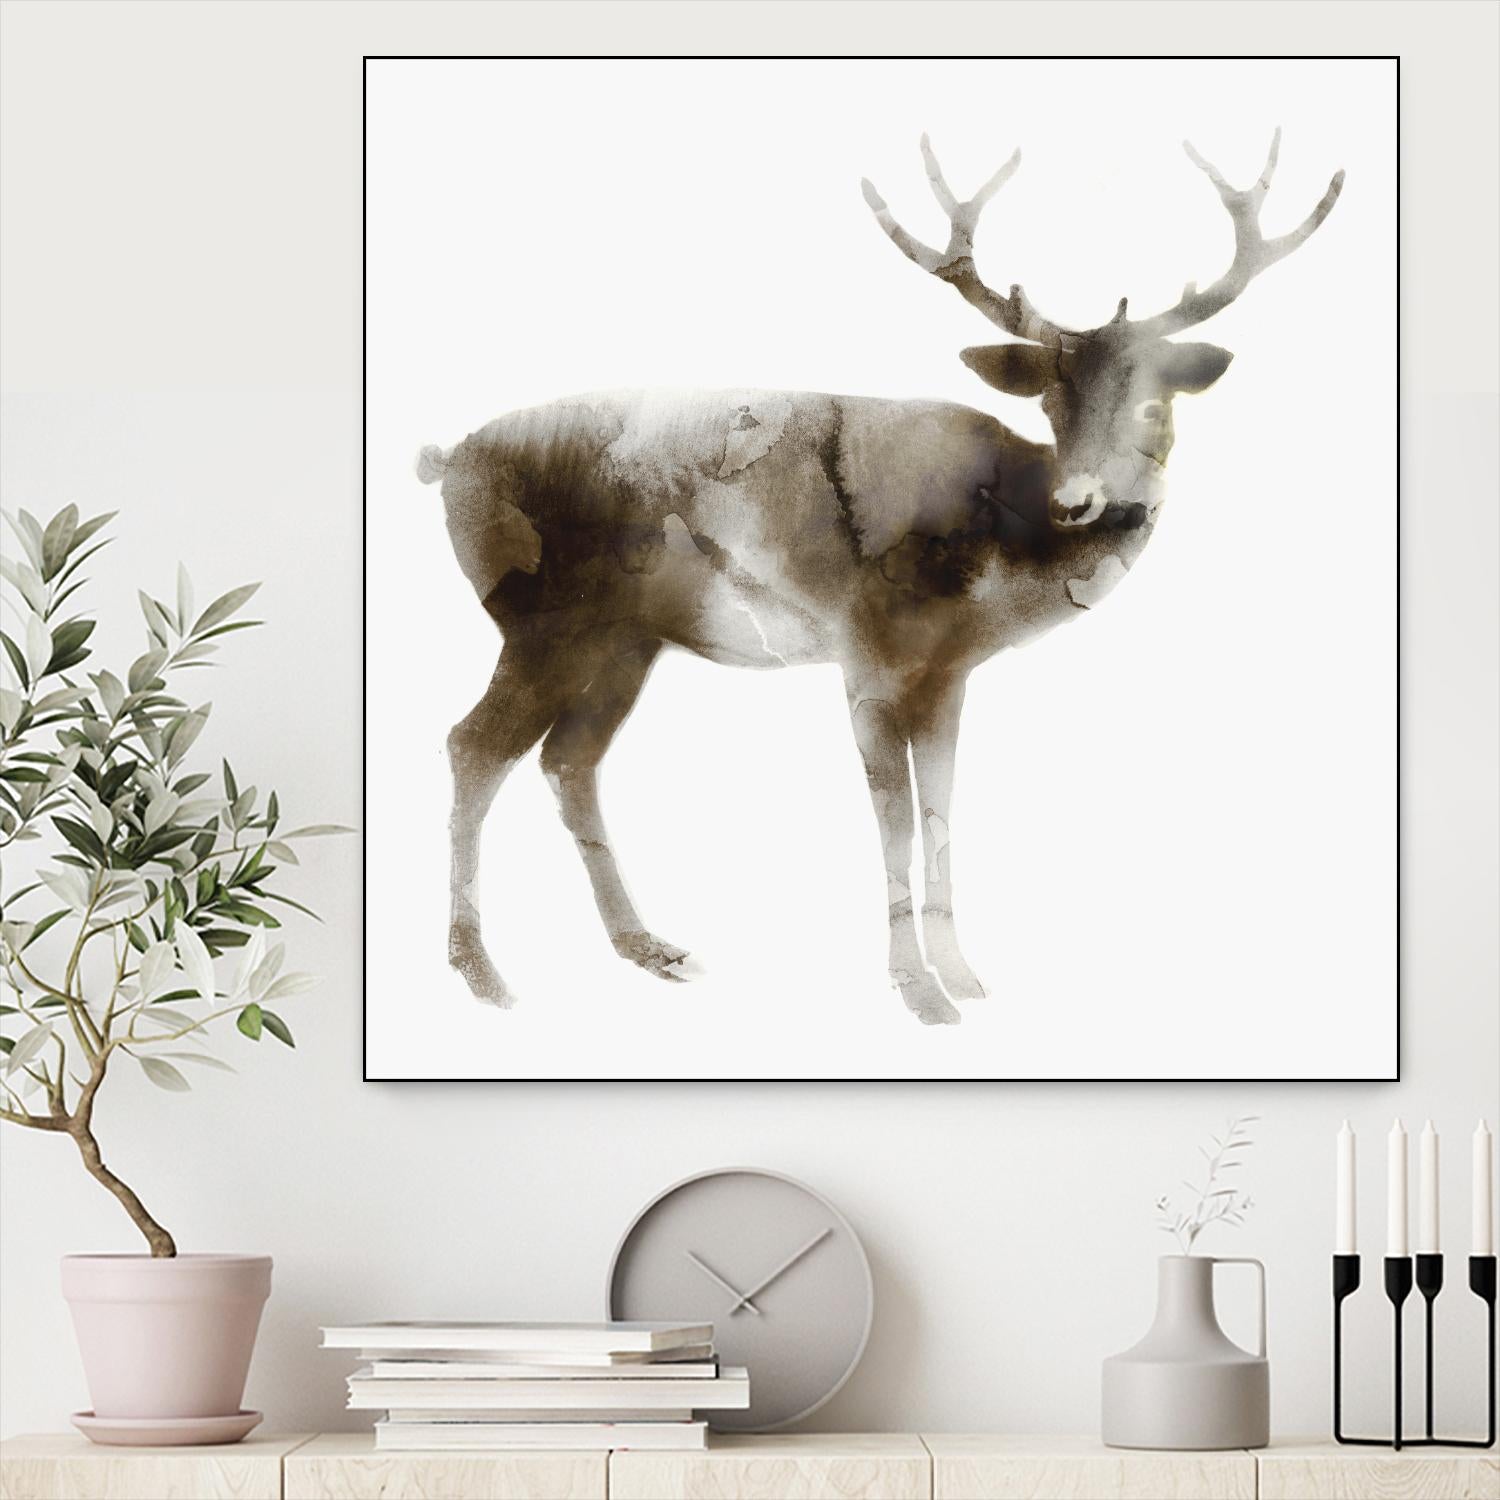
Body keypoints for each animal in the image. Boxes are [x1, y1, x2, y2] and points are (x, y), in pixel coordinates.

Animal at [417, 130, 1343, 1026]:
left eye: (1156, 402)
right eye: (1050, 402)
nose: (1080, 501)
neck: (996, 562)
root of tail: (447, 462)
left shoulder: (948, 675)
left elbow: (940, 810)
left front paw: (963, 975)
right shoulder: (866, 656)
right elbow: (893, 820)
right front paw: (918, 992)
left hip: (624, 641)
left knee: (569, 760)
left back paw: (647, 946)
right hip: (540, 620)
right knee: (473, 745)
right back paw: (482, 973)